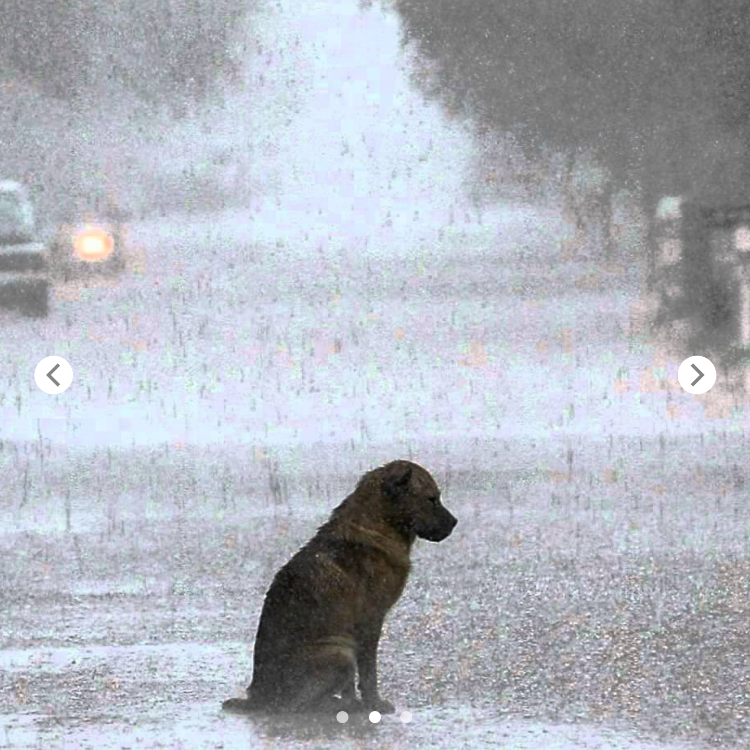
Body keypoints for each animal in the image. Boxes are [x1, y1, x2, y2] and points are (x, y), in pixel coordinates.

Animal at [223, 458, 458, 716]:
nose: (454, 523)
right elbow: (368, 672)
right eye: (431, 499)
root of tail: (258, 697)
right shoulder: (370, 621)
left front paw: (358, 702)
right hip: (340, 654)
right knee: (297, 706)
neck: (377, 526)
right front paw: (373, 704)